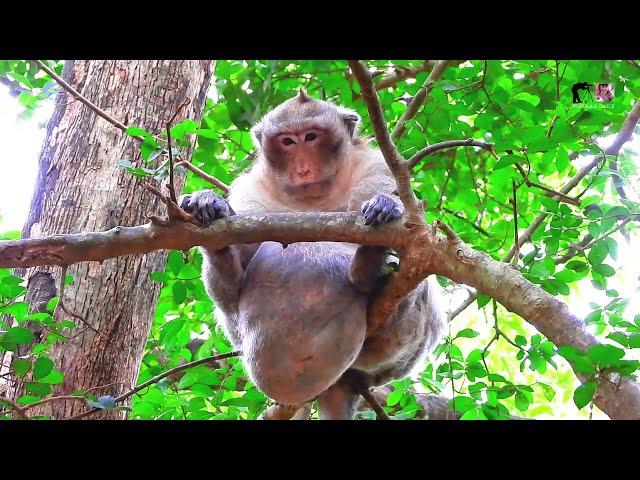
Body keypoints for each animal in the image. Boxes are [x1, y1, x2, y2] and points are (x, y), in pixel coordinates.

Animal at [180, 91, 444, 420]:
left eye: (311, 137)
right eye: (287, 142)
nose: (303, 168)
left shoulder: (375, 169)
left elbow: (408, 237)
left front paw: (386, 206)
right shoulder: (251, 193)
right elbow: (230, 297)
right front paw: (211, 207)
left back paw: (370, 270)